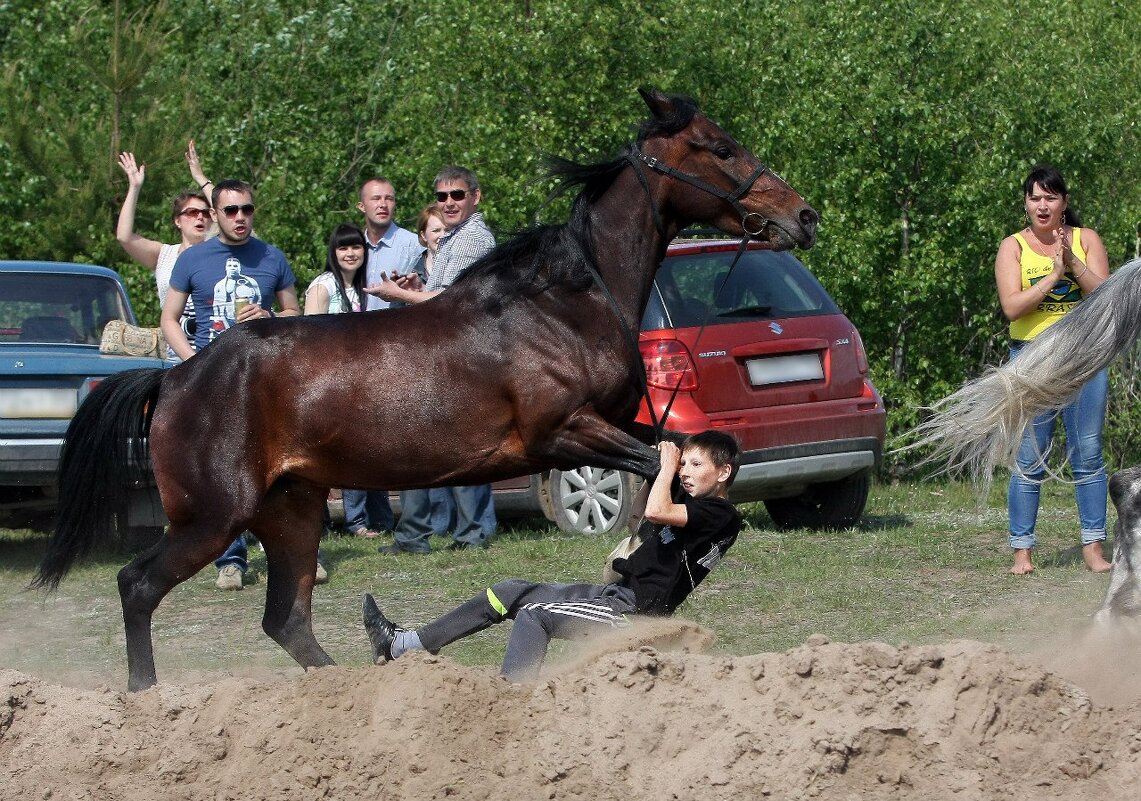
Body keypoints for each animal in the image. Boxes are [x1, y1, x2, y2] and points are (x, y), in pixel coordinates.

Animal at [35, 86, 816, 689]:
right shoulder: (561, 432)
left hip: (292, 509)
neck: (566, 302)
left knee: (286, 618)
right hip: (213, 516)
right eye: (718, 147)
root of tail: (175, 377)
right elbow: (658, 467)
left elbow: (679, 458)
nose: (801, 216)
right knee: (139, 586)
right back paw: (145, 695)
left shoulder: (612, 427)